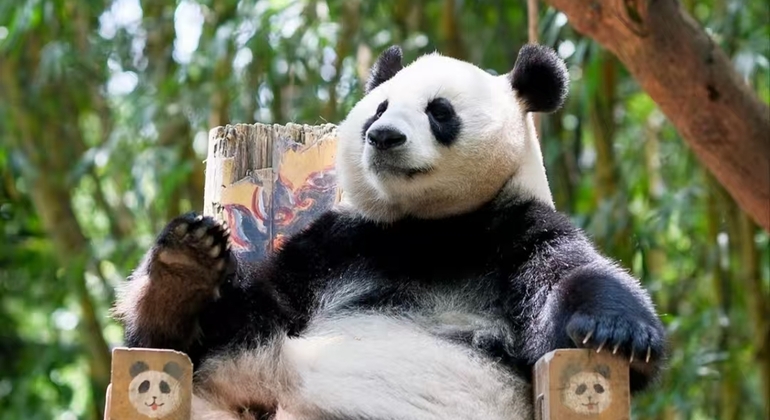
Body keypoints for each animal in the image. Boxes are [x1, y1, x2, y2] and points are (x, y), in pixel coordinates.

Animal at [113, 44, 666, 420]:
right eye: (378, 109)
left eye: (439, 111)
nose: (383, 136)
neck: (426, 225)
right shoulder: (336, 245)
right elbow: (241, 311)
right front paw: (185, 269)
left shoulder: (514, 228)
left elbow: (569, 278)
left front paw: (617, 332)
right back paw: (183, 270)